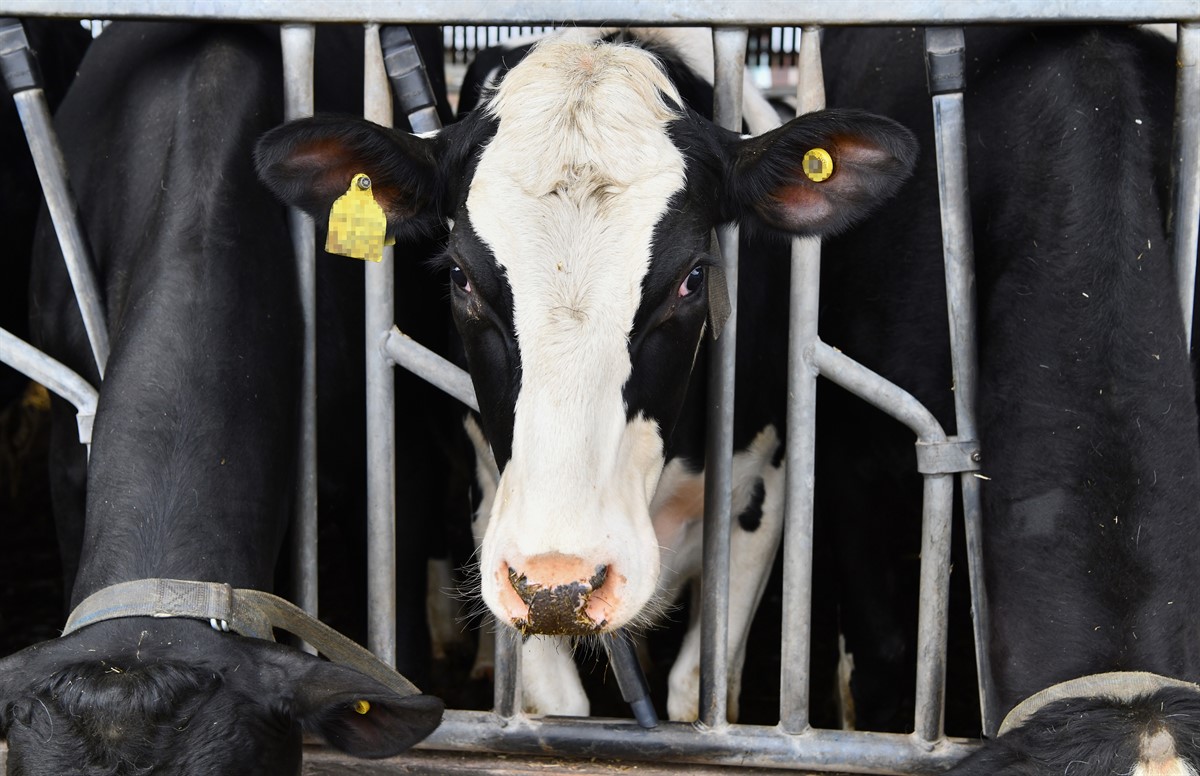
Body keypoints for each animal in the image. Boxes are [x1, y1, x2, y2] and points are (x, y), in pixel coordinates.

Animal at [256, 27, 919, 722]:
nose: (560, 583)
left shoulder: (763, 490)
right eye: (460, 277)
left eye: (693, 277)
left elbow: (695, 688)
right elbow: (560, 707)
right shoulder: (500, 517)